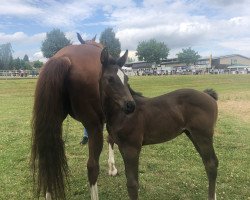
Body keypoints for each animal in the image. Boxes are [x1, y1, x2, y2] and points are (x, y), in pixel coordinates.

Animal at [100, 55, 218, 198]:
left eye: (126, 78)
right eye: (110, 79)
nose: (130, 106)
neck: (120, 114)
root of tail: (208, 95)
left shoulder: (131, 148)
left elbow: (132, 184)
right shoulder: (120, 145)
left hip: (203, 136)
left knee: (211, 164)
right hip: (193, 135)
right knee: (208, 162)